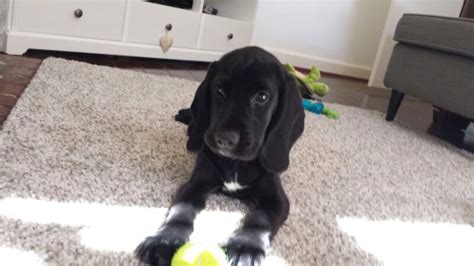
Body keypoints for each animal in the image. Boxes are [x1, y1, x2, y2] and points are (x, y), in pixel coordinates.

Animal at [135, 46, 306, 266]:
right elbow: (181, 210)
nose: (225, 139)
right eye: (220, 91)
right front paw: (165, 240)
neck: (236, 164)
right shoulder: (196, 183)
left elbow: (260, 219)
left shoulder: (276, 198)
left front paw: (245, 246)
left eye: (262, 97)